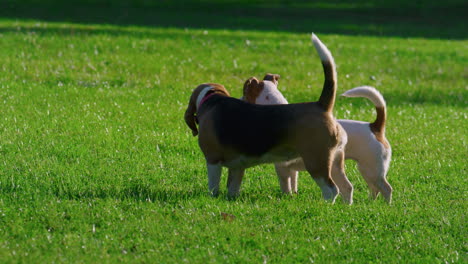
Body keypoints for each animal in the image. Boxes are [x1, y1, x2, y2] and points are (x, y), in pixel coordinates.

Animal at [186, 34, 344, 203]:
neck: (211, 97)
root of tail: (321, 105)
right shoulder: (237, 166)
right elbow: (233, 187)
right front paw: (230, 199)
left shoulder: (213, 159)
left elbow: (213, 185)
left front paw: (212, 198)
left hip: (316, 161)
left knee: (331, 189)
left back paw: (326, 204)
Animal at [243, 74, 394, 204]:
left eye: (244, 95)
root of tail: (375, 127)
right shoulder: (291, 169)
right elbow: (293, 182)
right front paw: (293, 195)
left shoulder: (282, 167)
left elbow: (285, 185)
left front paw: (286, 197)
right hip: (359, 170)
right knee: (369, 188)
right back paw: (366, 203)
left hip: (370, 168)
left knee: (386, 189)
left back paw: (386, 205)